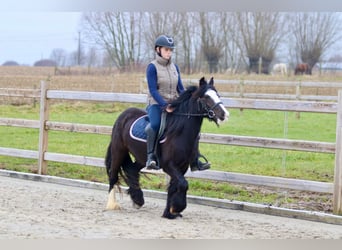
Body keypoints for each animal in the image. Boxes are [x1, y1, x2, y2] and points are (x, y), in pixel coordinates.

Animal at [104, 76, 230, 219]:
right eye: (206, 97)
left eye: (218, 95)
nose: (225, 115)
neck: (179, 132)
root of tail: (124, 115)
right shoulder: (169, 165)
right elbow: (183, 184)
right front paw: (176, 208)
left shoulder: (182, 166)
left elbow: (174, 187)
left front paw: (169, 212)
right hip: (118, 151)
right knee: (113, 175)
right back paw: (112, 204)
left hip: (141, 157)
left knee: (131, 170)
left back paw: (138, 200)